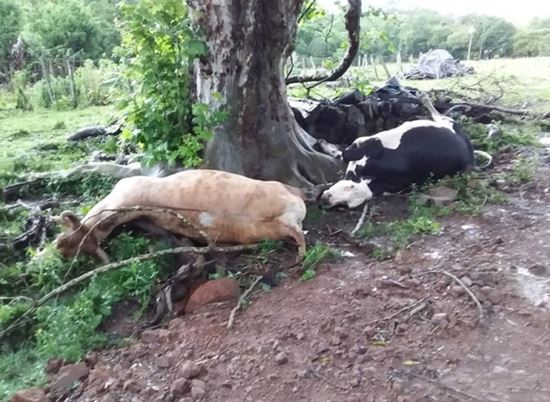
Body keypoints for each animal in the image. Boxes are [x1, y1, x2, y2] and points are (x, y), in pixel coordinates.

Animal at [324, 116, 492, 209]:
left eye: (349, 189)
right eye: (345, 204)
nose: (326, 198)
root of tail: (470, 153)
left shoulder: (374, 142)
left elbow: (346, 154)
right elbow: (345, 154)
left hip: (449, 122)